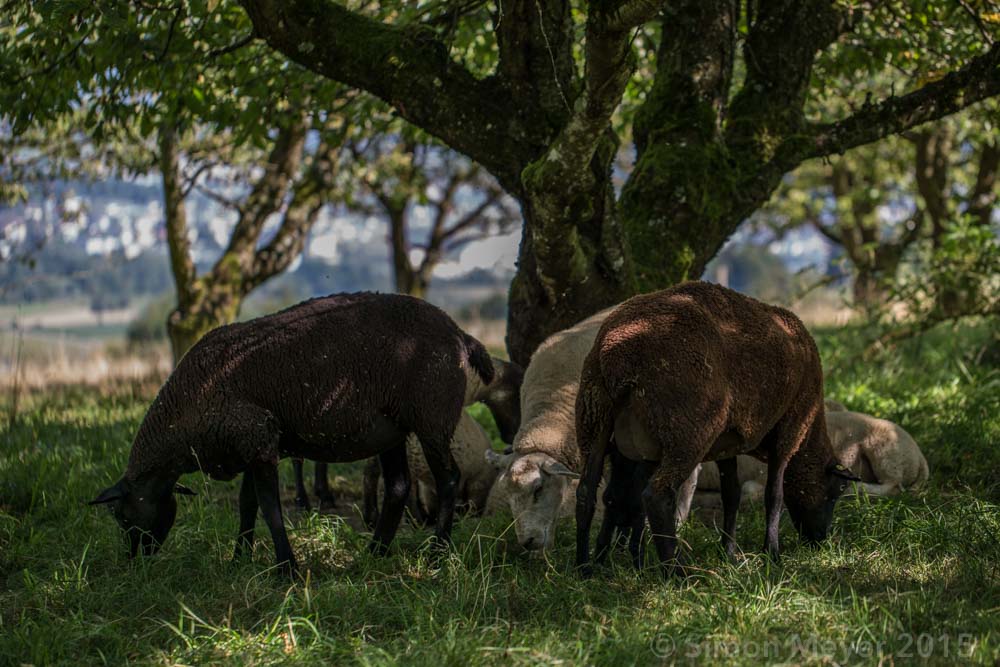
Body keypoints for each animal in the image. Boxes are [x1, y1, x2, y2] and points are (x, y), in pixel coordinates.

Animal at [576, 280, 864, 576]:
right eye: (836, 491)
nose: (819, 540)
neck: (812, 432)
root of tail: (616, 352)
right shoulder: (791, 430)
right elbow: (774, 495)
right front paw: (772, 554)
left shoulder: (728, 443)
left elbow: (732, 495)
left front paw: (729, 552)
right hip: (687, 432)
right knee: (656, 496)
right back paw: (676, 571)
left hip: (593, 418)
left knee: (586, 492)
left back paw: (584, 567)